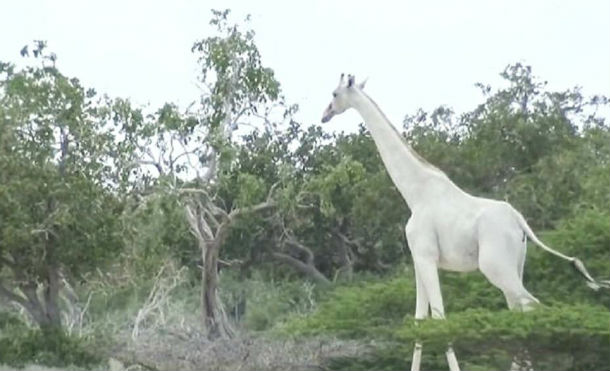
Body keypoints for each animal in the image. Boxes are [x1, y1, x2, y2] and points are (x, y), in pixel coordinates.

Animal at [320, 73, 600, 371]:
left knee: (531, 307)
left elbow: (440, 319)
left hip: (494, 266)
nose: (325, 114)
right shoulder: (419, 260)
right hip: (517, 264)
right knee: (519, 311)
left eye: (335, 93)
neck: (415, 193)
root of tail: (519, 221)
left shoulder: (426, 256)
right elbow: (420, 320)